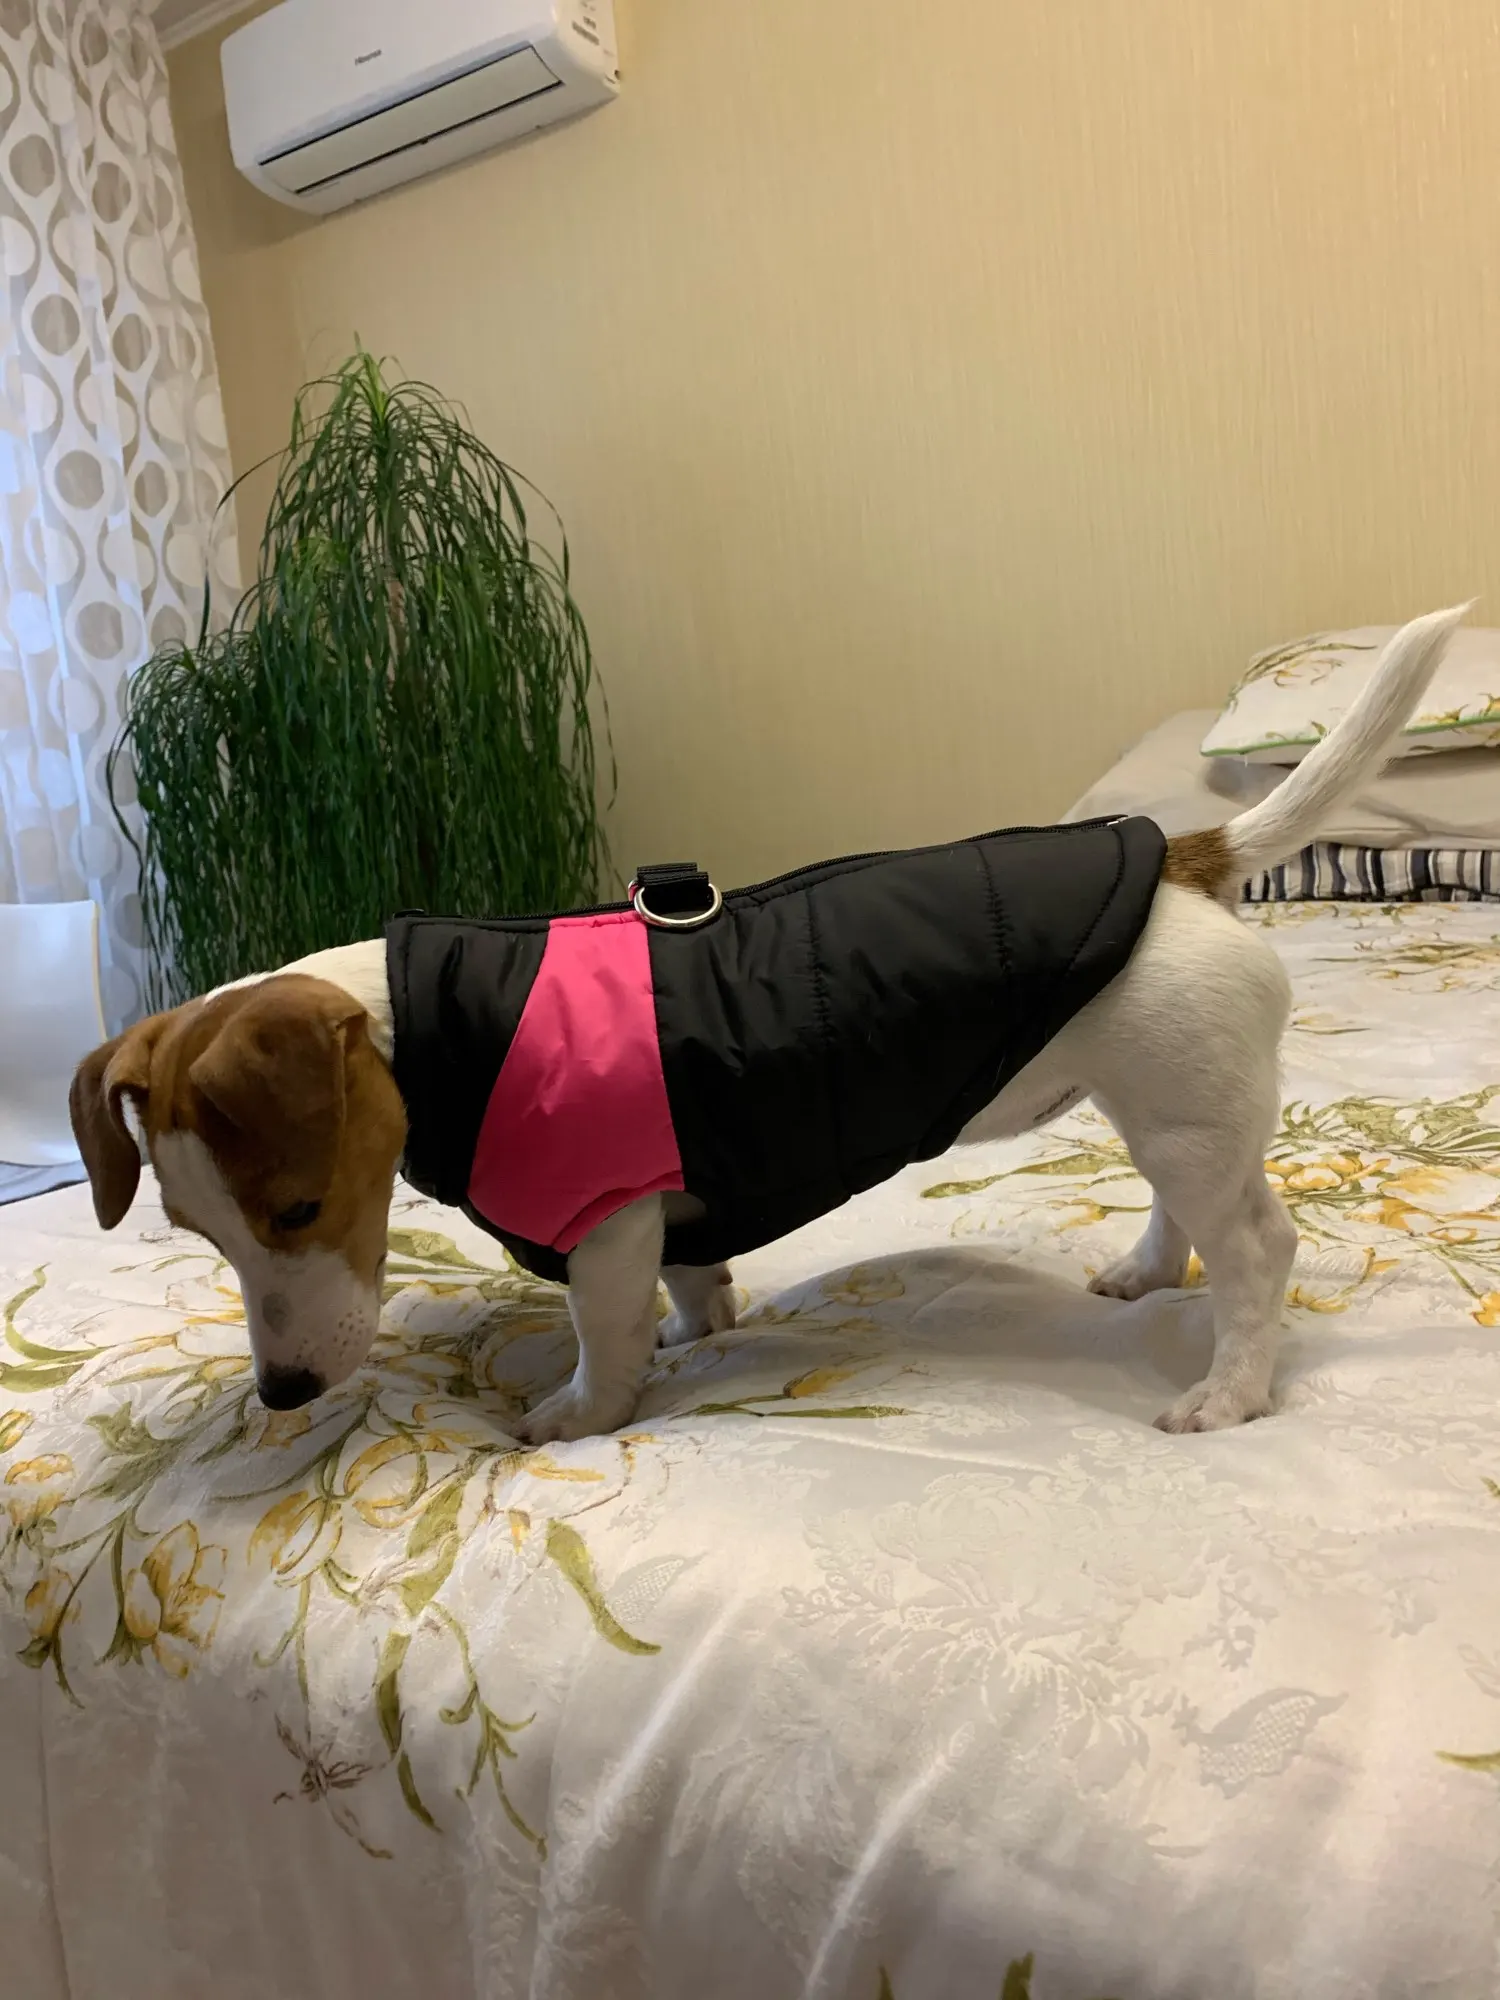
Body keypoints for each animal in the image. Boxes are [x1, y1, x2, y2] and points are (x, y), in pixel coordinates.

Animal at [69, 604, 1465, 1443]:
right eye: (197, 1231)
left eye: (300, 1208)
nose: (285, 1393)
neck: (438, 1009)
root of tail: (1183, 852)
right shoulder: (670, 1208)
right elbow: (693, 1284)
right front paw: (706, 1330)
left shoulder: (606, 1222)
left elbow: (606, 1331)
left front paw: (580, 1409)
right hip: (1168, 1109)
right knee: (1192, 1214)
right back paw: (1143, 1270)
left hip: (1184, 1112)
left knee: (1259, 1253)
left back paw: (1228, 1389)